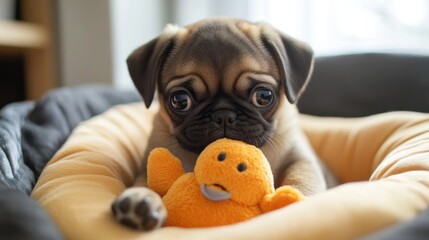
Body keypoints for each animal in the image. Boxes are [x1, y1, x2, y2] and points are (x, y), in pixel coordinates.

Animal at [110, 17, 328, 231]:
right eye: (180, 101)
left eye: (263, 96)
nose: (223, 115)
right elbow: (147, 181)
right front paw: (140, 198)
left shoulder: (300, 158)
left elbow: (301, 178)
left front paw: (293, 202)